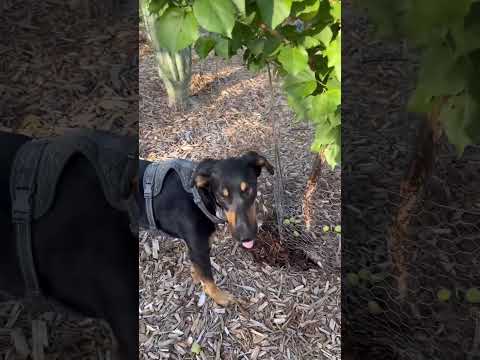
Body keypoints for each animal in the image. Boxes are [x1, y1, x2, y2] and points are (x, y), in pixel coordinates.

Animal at [139, 150, 274, 306]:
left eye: (248, 190)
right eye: (222, 196)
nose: (245, 237)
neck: (200, 198)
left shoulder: (200, 246)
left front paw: (196, 275)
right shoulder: (199, 249)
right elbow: (209, 280)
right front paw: (220, 297)